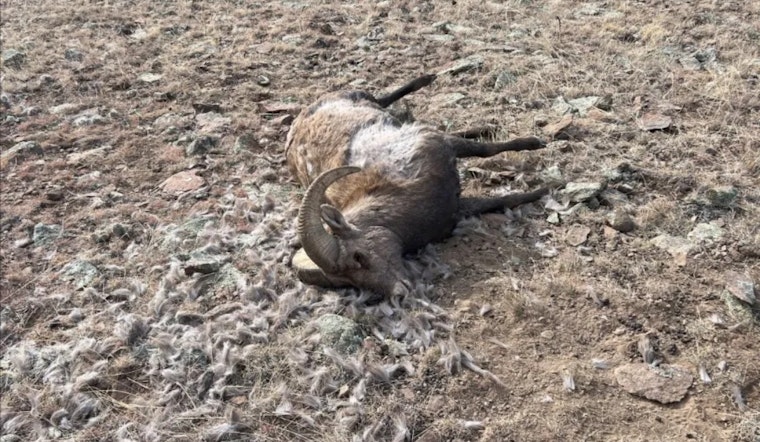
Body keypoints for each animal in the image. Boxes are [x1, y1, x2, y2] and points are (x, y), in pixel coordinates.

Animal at [285, 74, 548, 299]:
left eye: (358, 256)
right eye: (347, 282)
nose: (398, 294)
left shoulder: (441, 146)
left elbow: (486, 150)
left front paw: (536, 146)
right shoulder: (457, 207)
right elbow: (502, 200)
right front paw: (542, 189)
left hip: (358, 97)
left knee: (383, 99)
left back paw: (428, 80)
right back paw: (483, 125)